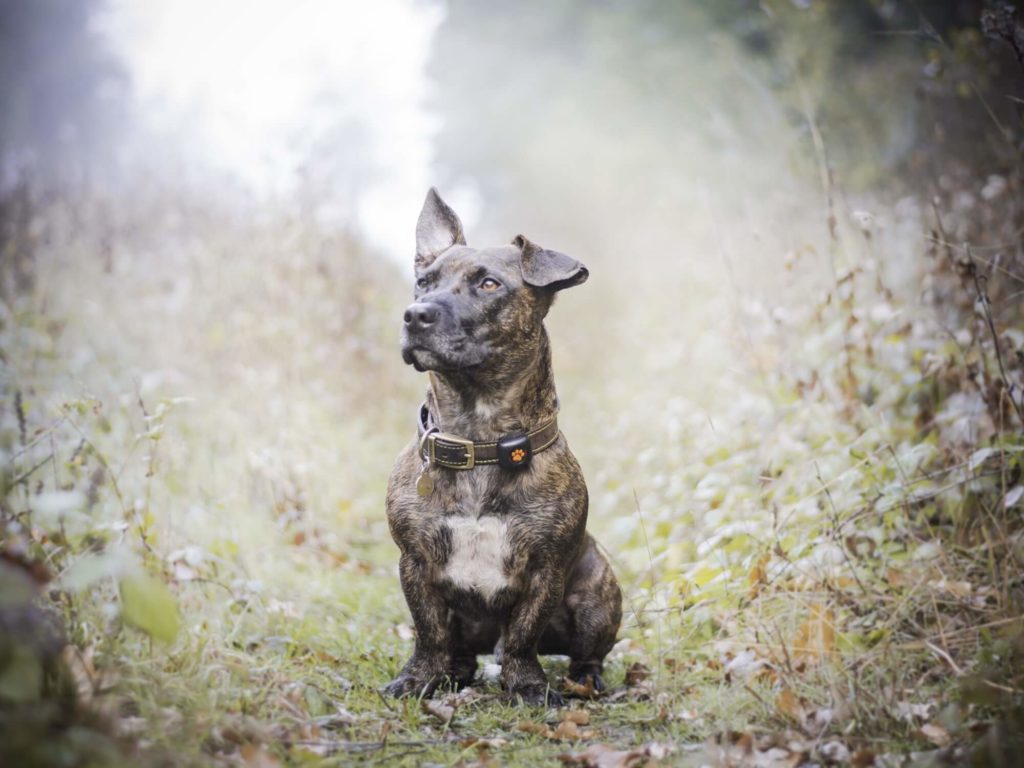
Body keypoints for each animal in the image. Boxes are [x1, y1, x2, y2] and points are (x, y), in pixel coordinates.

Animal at [385, 189, 622, 708]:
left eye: (489, 284)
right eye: (423, 282)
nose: (416, 315)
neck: (479, 438)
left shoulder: (546, 571)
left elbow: (522, 636)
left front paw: (527, 685)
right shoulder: (415, 564)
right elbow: (428, 633)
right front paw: (418, 678)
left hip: (599, 597)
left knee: (586, 654)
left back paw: (586, 680)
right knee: (459, 652)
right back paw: (453, 672)